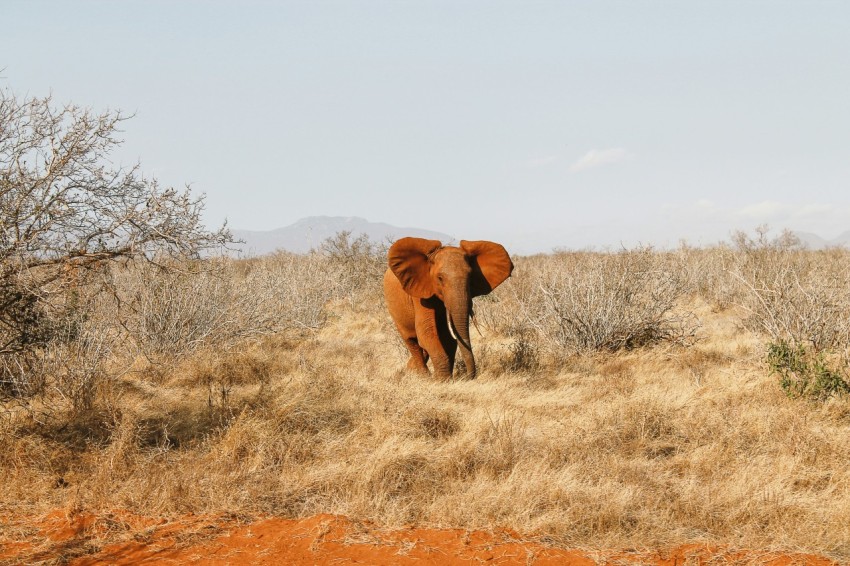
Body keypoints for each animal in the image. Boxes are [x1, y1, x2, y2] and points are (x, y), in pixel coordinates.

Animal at [382, 237, 512, 380]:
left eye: (470, 277)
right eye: (440, 278)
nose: (467, 377)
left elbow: (448, 337)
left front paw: (444, 378)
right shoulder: (420, 292)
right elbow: (427, 332)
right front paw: (441, 380)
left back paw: (411, 369)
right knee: (412, 341)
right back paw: (422, 375)